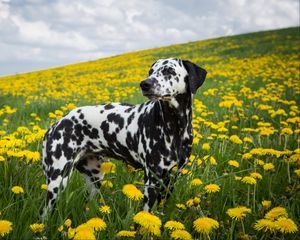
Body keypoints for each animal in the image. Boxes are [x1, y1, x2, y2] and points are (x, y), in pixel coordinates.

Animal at [42, 57, 206, 216]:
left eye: (169, 70)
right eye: (151, 71)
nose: (145, 84)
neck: (174, 126)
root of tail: (56, 124)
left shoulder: (171, 179)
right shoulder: (152, 180)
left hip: (95, 178)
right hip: (57, 182)